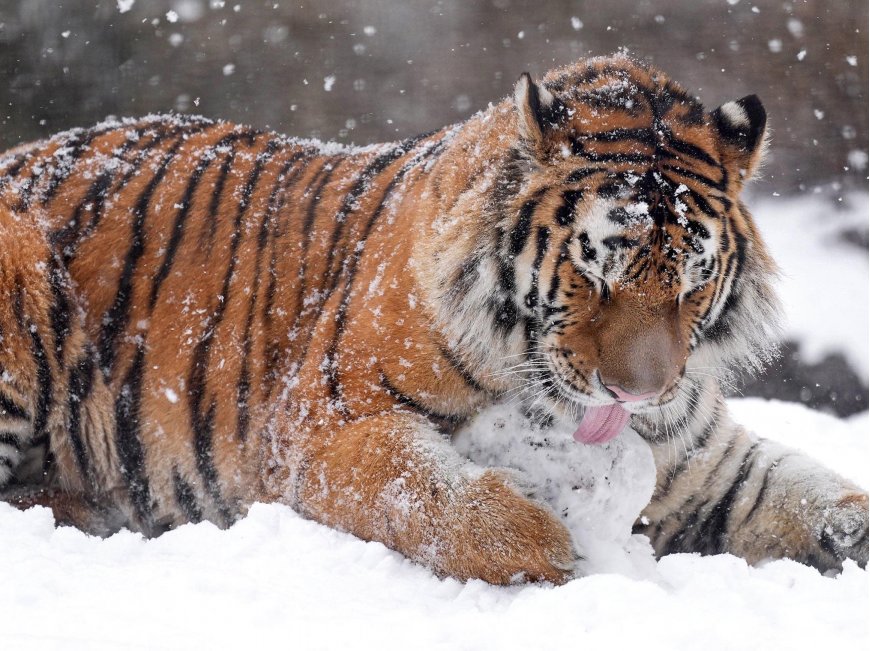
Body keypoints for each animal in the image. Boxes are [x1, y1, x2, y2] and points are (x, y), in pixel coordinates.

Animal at [0, 54, 866, 585]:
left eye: (690, 284)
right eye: (594, 272)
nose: (636, 394)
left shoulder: (702, 461)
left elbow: (810, 494)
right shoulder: (319, 429)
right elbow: (429, 490)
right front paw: (550, 548)